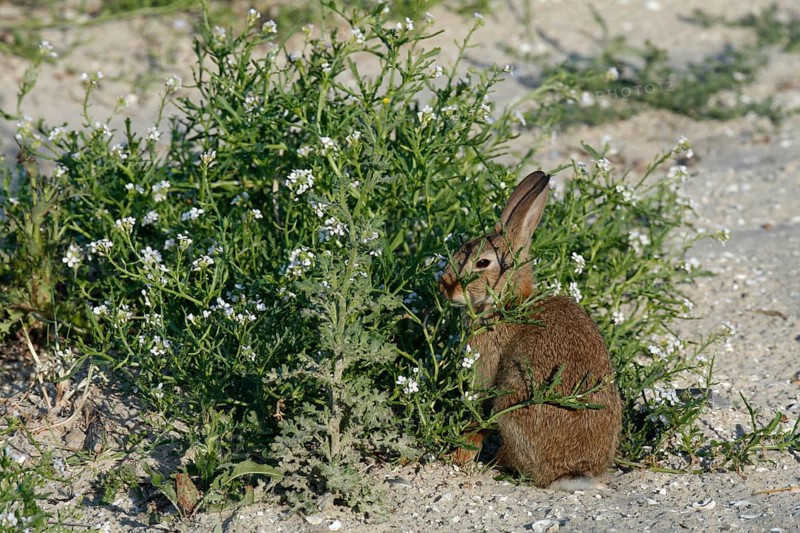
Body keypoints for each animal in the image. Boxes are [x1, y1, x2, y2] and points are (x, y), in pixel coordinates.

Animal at [437, 170, 622, 490]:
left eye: (482, 262)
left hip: (511, 408)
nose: (444, 286)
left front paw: (461, 452)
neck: (508, 304)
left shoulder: (486, 363)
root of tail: (570, 472)